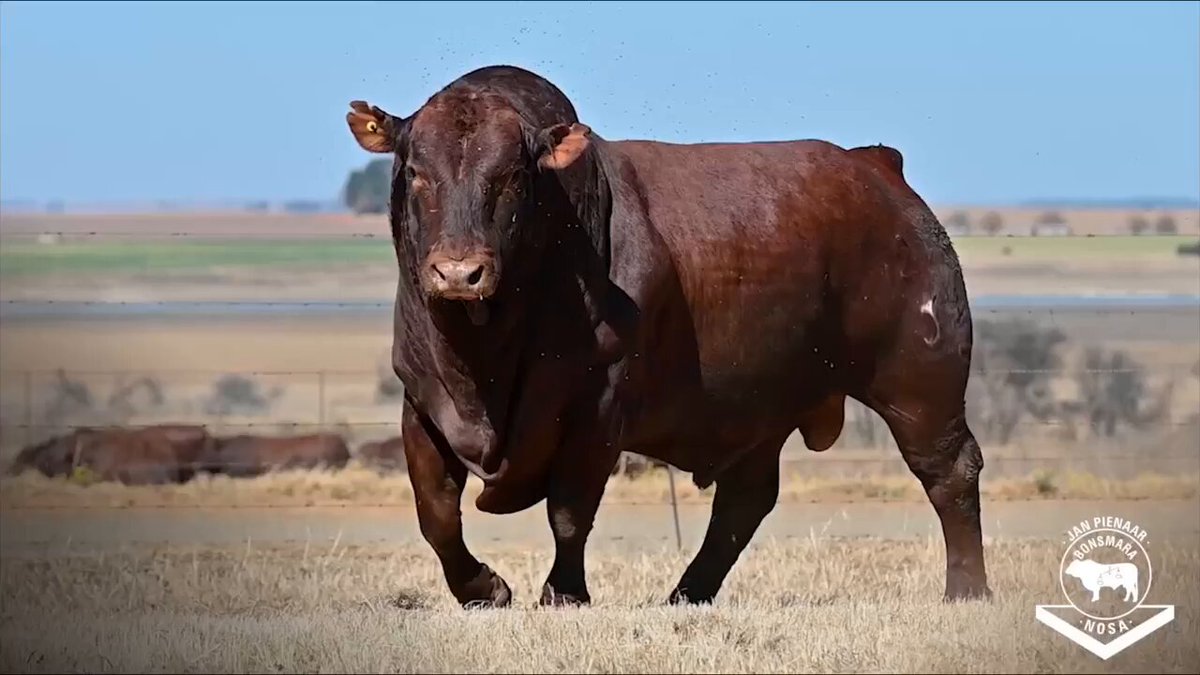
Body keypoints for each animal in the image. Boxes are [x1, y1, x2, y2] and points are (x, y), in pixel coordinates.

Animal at [344, 64, 991, 608]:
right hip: (763, 404)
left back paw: (966, 588)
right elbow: (436, 515)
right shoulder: (422, 403)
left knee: (949, 470)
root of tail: (878, 169)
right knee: (744, 500)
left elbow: (570, 512)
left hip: (920, 382)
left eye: (510, 178)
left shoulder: (596, 408)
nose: (459, 273)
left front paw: (563, 594)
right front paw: (483, 590)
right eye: (416, 174)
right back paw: (687, 593)